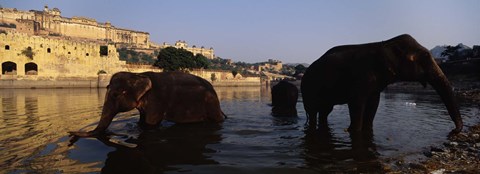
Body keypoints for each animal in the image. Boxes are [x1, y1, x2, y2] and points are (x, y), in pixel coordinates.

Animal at [70, 71, 227, 137]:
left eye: (115, 95)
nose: (70, 133)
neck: (137, 75)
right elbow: (141, 121)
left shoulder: (156, 100)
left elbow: (151, 123)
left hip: (211, 104)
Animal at [302, 34, 464, 135]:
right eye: (420, 58)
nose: (453, 131)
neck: (386, 43)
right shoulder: (362, 75)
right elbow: (356, 102)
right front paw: (353, 131)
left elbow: (374, 103)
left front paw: (366, 131)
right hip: (309, 88)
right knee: (313, 112)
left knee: (325, 111)